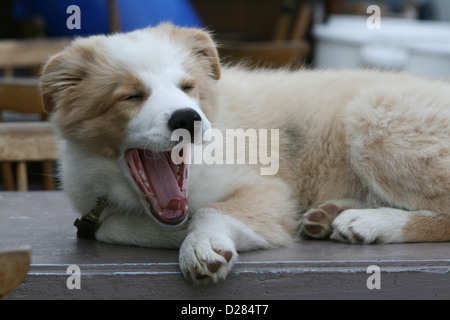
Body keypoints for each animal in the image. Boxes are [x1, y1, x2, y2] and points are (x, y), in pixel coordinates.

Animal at [39, 23, 450, 284]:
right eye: (131, 95)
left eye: (188, 87)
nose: (188, 119)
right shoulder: (92, 207)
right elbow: (108, 225)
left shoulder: (268, 191)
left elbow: (210, 210)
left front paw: (201, 243)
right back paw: (329, 214)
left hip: (373, 116)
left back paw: (371, 222)